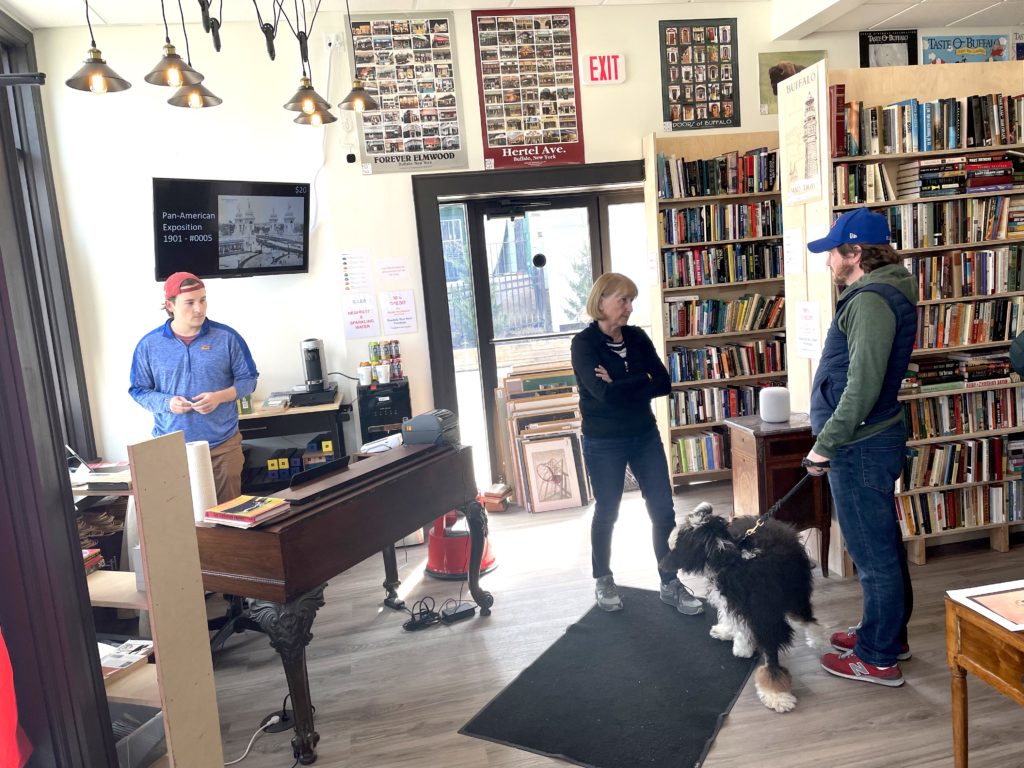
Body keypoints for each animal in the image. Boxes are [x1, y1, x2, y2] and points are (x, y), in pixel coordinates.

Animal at [663, 501, 815, 712]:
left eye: (685, 533)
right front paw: (742, 645)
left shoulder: (765, 616)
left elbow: (771, 655)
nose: (671, 534)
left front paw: (776, 694)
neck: (732, 561)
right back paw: (729, 633)